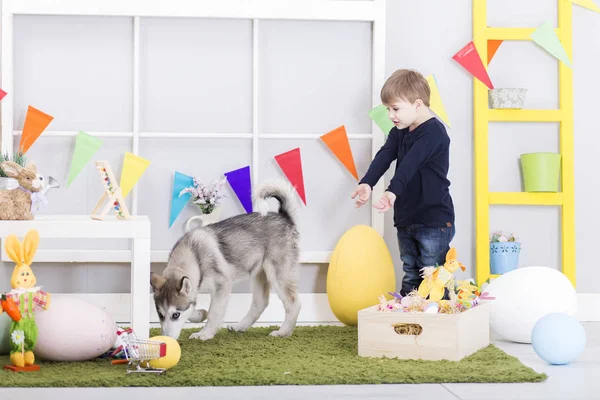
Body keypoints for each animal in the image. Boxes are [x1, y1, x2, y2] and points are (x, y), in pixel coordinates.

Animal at [150, 181, 300, 340]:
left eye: (175, 315)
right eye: (160, 315)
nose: (165, 339)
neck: (193, 253)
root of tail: (284, 216)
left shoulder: (222, 285)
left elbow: (214, 313)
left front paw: (204, 333)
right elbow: (195, 307)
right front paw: (200, 314)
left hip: (278, 274)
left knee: (293, 303)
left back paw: (283, 331)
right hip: (259, 273)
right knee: (261, 303)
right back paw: (240, 326)